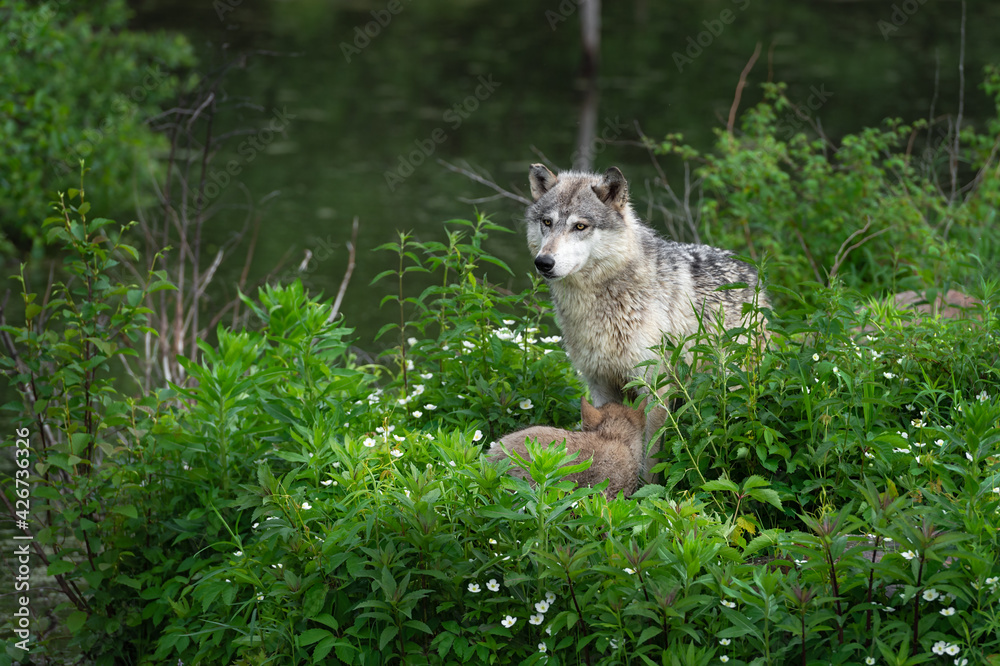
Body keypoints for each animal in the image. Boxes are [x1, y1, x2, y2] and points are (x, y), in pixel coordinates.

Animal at [525, 164, 769, 479]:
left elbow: (652, 458)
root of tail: (750, 270)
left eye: (580, 226)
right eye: (547, 222)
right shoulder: (600, 385)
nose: (543, 262)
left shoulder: (655, 389)